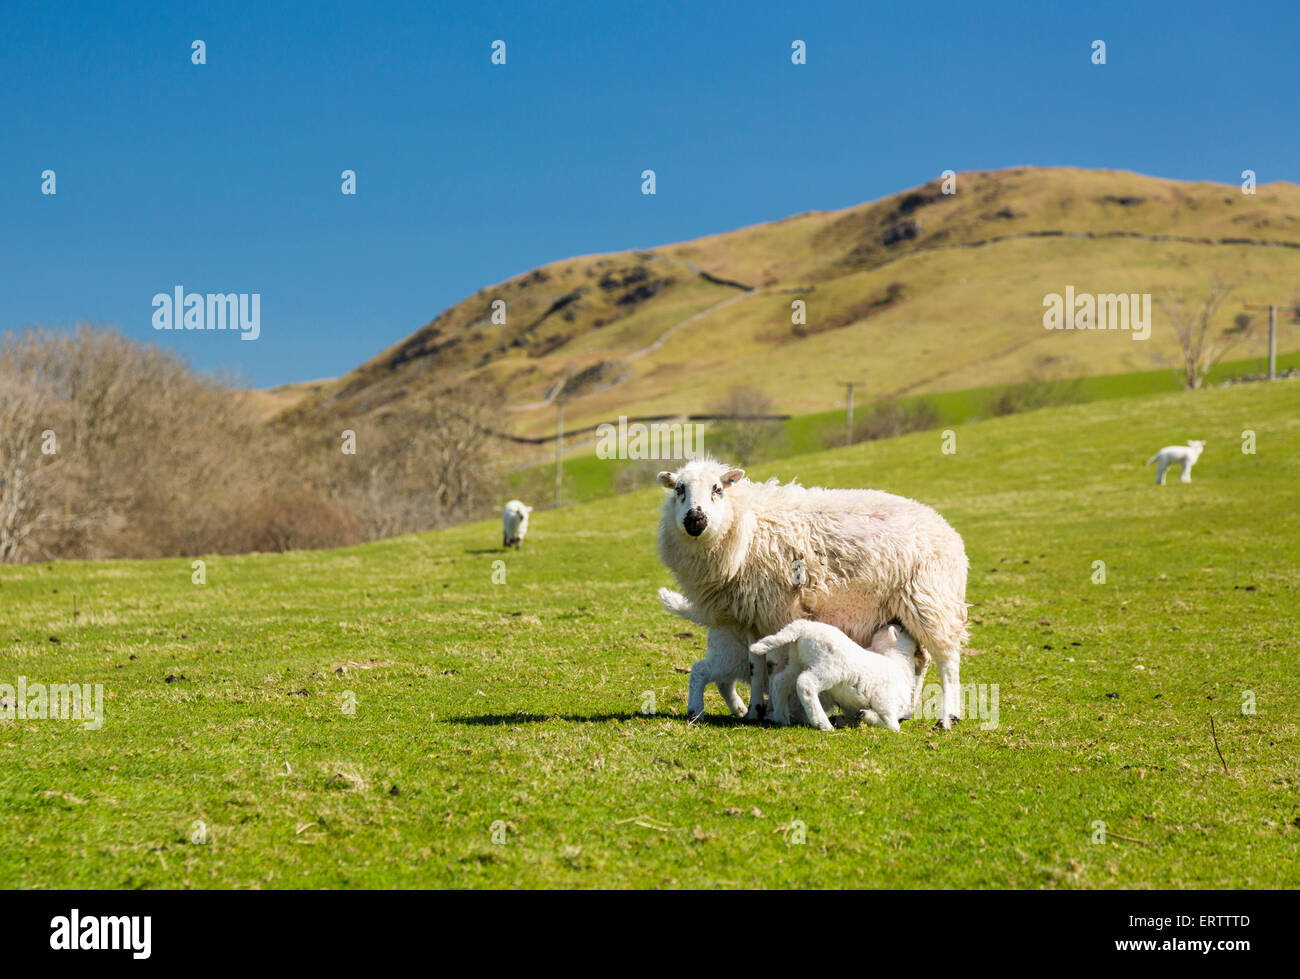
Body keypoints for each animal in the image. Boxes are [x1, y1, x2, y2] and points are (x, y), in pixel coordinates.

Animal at [748, 618, 920, 728]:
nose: (902, 624)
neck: (897, 661)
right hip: (828, 667)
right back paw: (822, 723)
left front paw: (848, 719)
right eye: (902, 630)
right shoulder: (885, 700)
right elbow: (892, 725)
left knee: (780, 682)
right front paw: (869, 717)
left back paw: (781, 717)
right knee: (805, 683)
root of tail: (805, 627)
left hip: (797, 662)